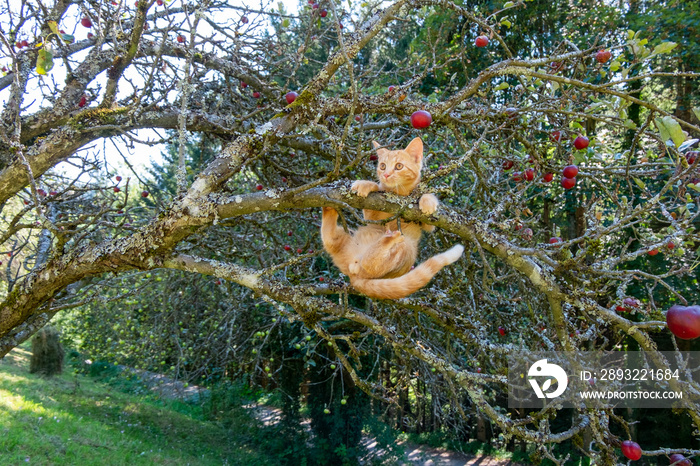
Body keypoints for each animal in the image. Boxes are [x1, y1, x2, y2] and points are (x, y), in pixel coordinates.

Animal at [322, 137, 464, 300]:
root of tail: (352, 273)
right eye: (382, 166)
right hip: (346, 238)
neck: (399, 194)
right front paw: (367, 185)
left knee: (366, 262)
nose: (386, 175)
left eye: (399, 166)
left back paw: (388, 239)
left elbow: (428, 210)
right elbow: (375, 194)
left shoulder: (429, 224)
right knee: (330, 239)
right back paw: (329, 207)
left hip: (406, 248)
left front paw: (427, 201)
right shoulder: (371, 214)